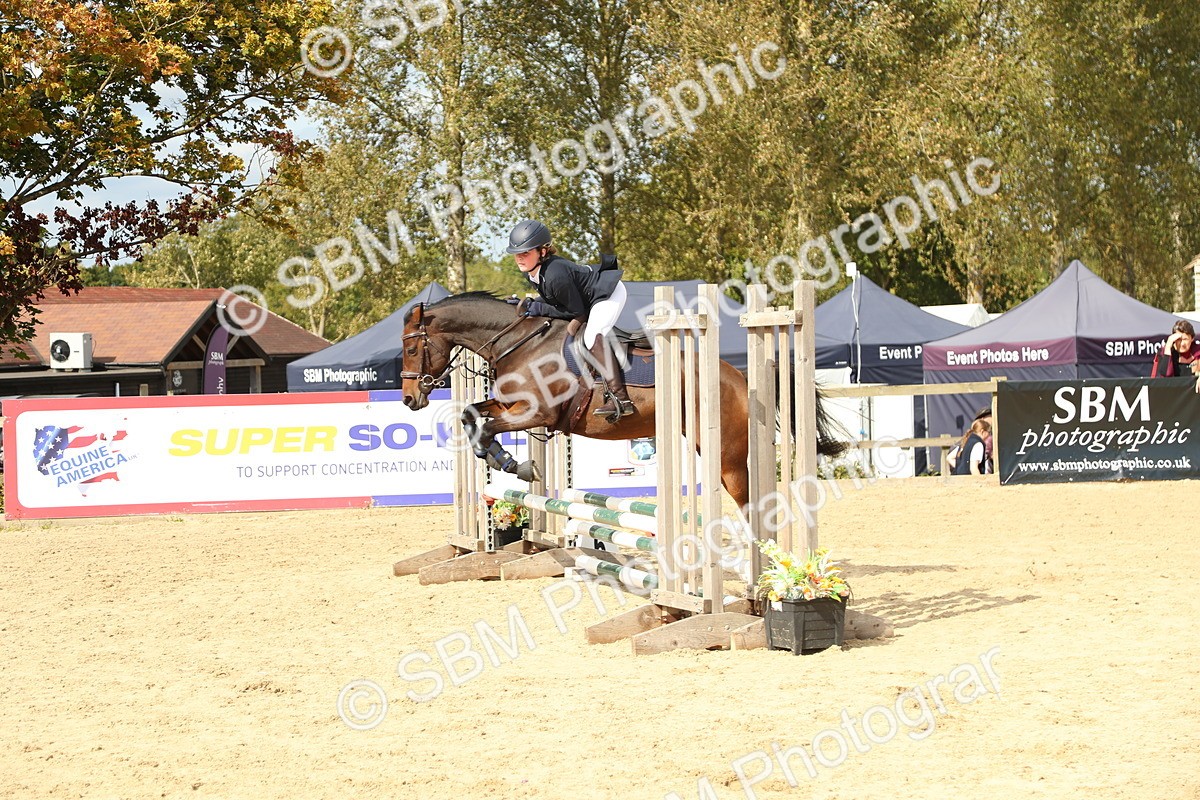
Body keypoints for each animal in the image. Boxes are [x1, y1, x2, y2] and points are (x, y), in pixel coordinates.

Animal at [399, 291, 844, 511]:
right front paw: (507, 461)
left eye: (410, 349)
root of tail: (740, 376)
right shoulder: (513, 406)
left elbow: (486, 426)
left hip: (725, 454)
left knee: (747, 500)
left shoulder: (537, 412)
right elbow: (472, 415)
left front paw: (515, 465)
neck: (519, 342)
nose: (408, 399)